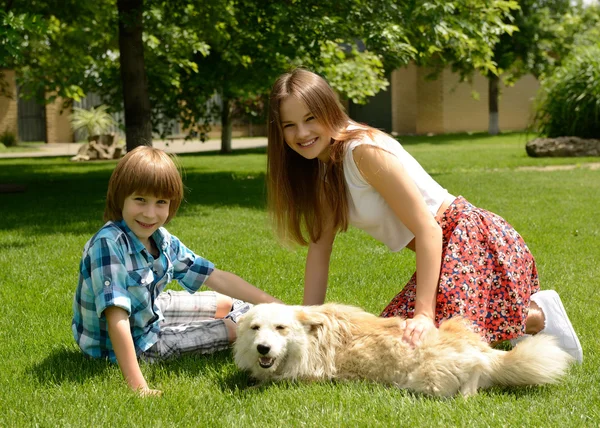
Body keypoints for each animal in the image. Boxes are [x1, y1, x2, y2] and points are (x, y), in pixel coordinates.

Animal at [233, 302, 572, 396]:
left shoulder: (304, 377)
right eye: (255, 328)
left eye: (281, 328)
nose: (263, 348)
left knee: (475, 372)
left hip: (426, 379)